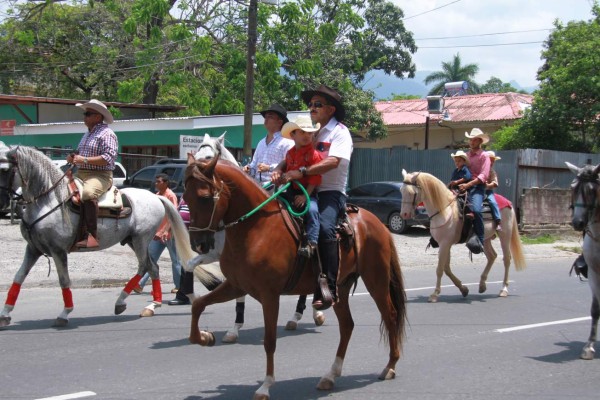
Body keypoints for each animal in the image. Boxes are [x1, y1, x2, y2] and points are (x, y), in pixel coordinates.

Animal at [0, 144, 216, 328]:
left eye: (4, 169)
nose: (2, 200)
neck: (49, 200)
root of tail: (155, 196)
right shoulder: (33, 248)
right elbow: (18, 277)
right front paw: (5, 315)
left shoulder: (58, 250)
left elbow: (64, 280)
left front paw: (64, 314)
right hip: (133, 240)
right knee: (150, 267)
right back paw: (138, 304)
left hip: (141, 239)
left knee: (147, 266)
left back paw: (140, 304)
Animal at [184, 155, 408, 396]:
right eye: (185, 196)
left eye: (205, 198)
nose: (198, 244)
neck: (256, 227)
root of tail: (376, 222)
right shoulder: (236, 286)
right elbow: (198, 306)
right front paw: (205, 337)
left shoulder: (269, 296)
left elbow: (269, 341)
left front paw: (266, 385)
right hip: (340, 288)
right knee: (347, 325)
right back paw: (330, 375)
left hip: (377, 280)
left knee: (390, 316)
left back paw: (390, 366)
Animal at [192, 132, 324, 344]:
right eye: (195, 155)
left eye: (208, 157)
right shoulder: (217, 255)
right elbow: (190, 265)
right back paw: (298, 316)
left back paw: (312, 312)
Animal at [404, 170, 524, 304]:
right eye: (401, 191)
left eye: (412, 193)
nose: (404, 214)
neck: (445, 210)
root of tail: (508, 203)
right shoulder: (445, 244)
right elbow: (446, 268)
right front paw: (463, 289)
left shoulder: (445, 244)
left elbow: (440, 269)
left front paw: (435, 294)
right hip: (486, 238)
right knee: (492, 256)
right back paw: (482, 285)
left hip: (505, 235)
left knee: (507, 259)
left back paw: (503, 289)